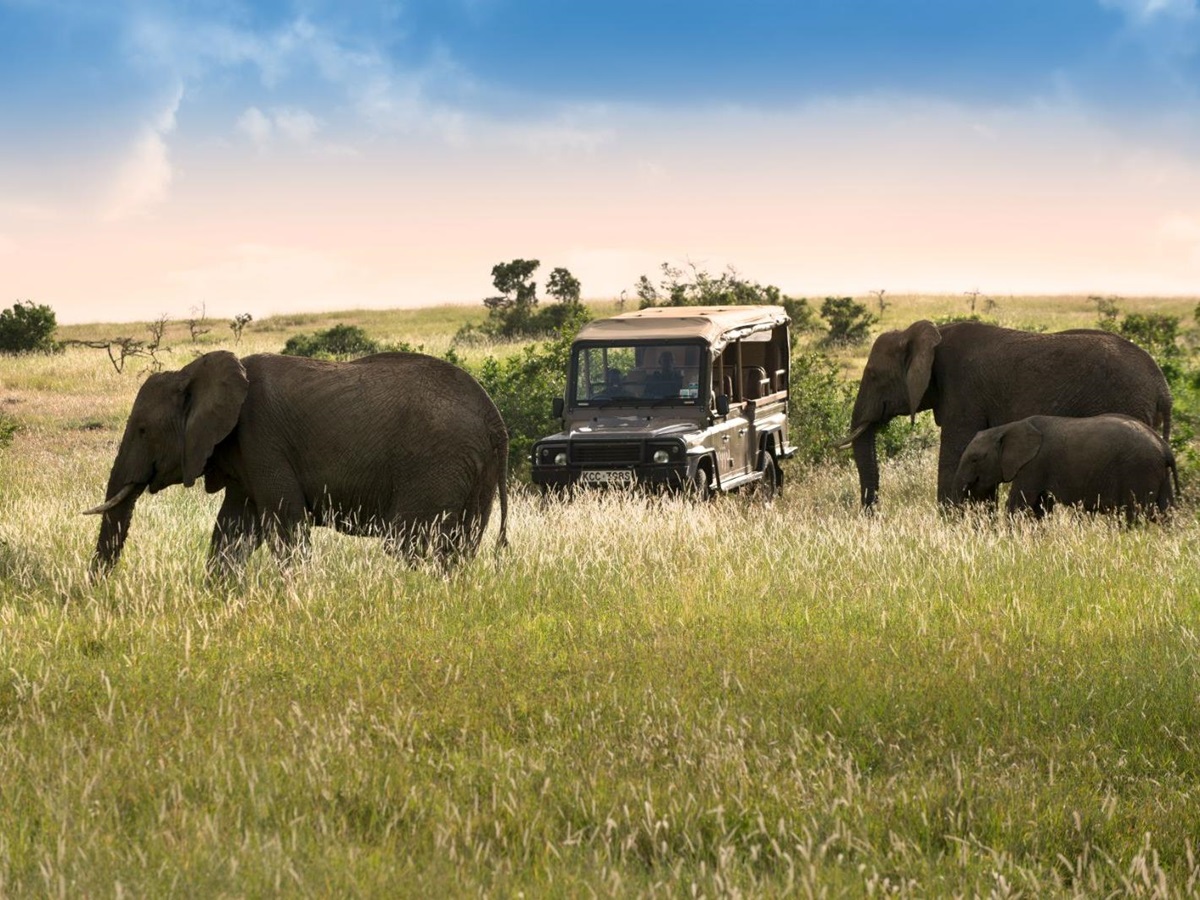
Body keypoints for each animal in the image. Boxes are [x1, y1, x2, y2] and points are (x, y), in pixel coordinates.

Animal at [85, 350, 509, 577]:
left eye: (142, 430)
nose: (98, 590)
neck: (192, 371)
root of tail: (495, 420)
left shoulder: (262, 439)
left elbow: (286, 525)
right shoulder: (244, 454)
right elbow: (233, 529)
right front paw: (220, 599)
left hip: (436, 462)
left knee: (410, 544)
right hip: (473, 470)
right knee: (461, 546)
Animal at [837, 320, 1172, 508]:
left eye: (874, 376)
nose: (873, 516)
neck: (930, 334)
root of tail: (1163, 386)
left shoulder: (964, 392)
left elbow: (954, 456)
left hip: (1126, 401)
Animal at [953, 414, 1178, 521]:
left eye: (975, 459)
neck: (1007, 428)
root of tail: (1164, 448)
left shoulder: (1034, 465)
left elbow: (1019, 504)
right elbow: (1041, 507)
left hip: (1139, 471)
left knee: (1134, 513)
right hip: (1159, 474)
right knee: (1165, 513)